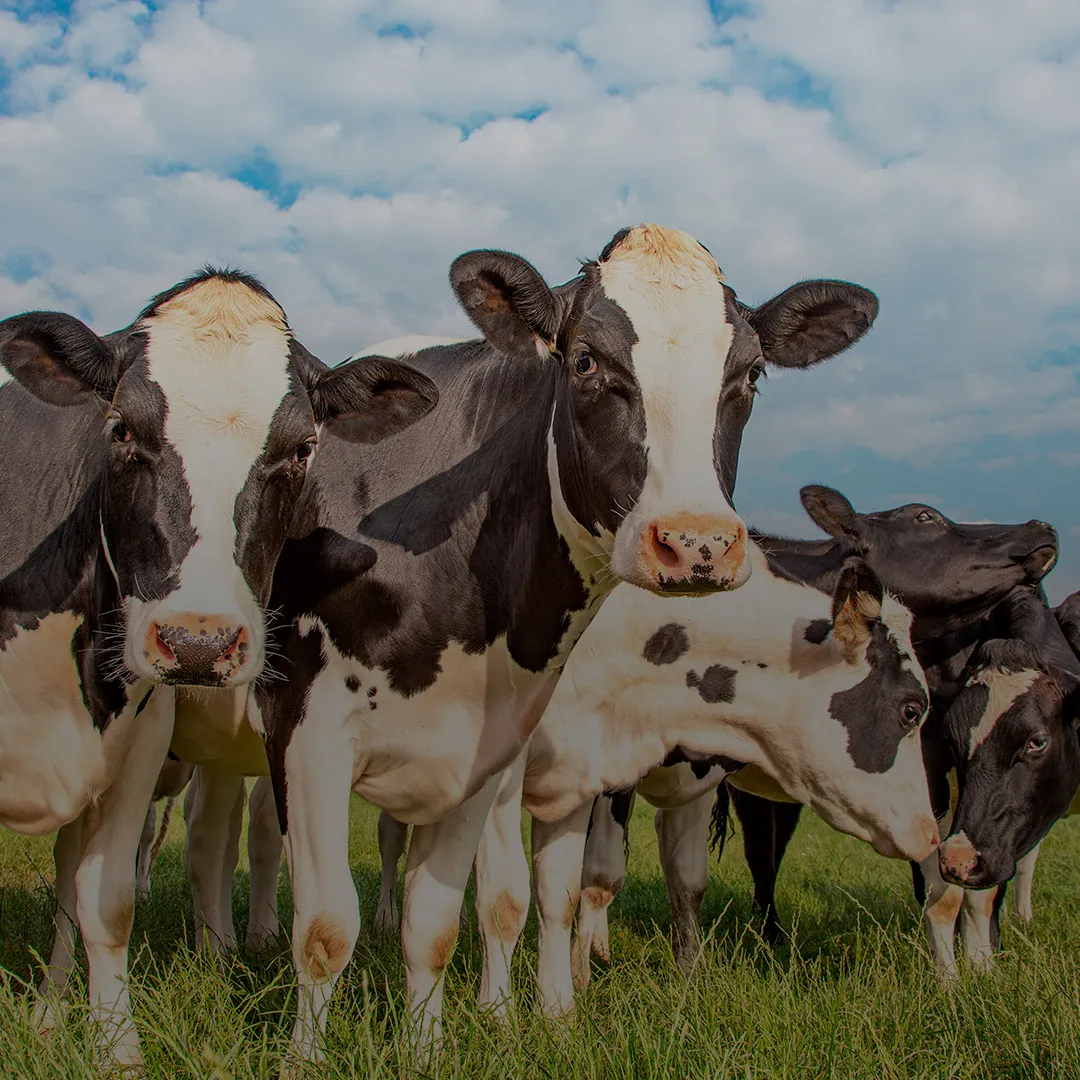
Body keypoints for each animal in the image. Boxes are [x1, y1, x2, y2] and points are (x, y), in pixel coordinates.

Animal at [0, 268, 439, 1067]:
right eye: (121, 429)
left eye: (300, 449)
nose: (199, 643)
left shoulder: (136, 740)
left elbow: (106, 901)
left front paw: (118, 1054)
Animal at [249, 224, 881, 1062]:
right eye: (585, 362)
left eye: (750, 374)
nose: (698, 543)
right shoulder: (307, 729)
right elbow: (327, 926)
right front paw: (308, 1059)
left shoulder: (493, 744)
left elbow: (468, 912)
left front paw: (485, 1032)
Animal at [571, 486, 1058, 970]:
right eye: (925, 517)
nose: (1041, 526)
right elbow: (601, 873)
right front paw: (584, 967)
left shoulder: (701, 764)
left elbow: (687, 879)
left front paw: (688, 971)